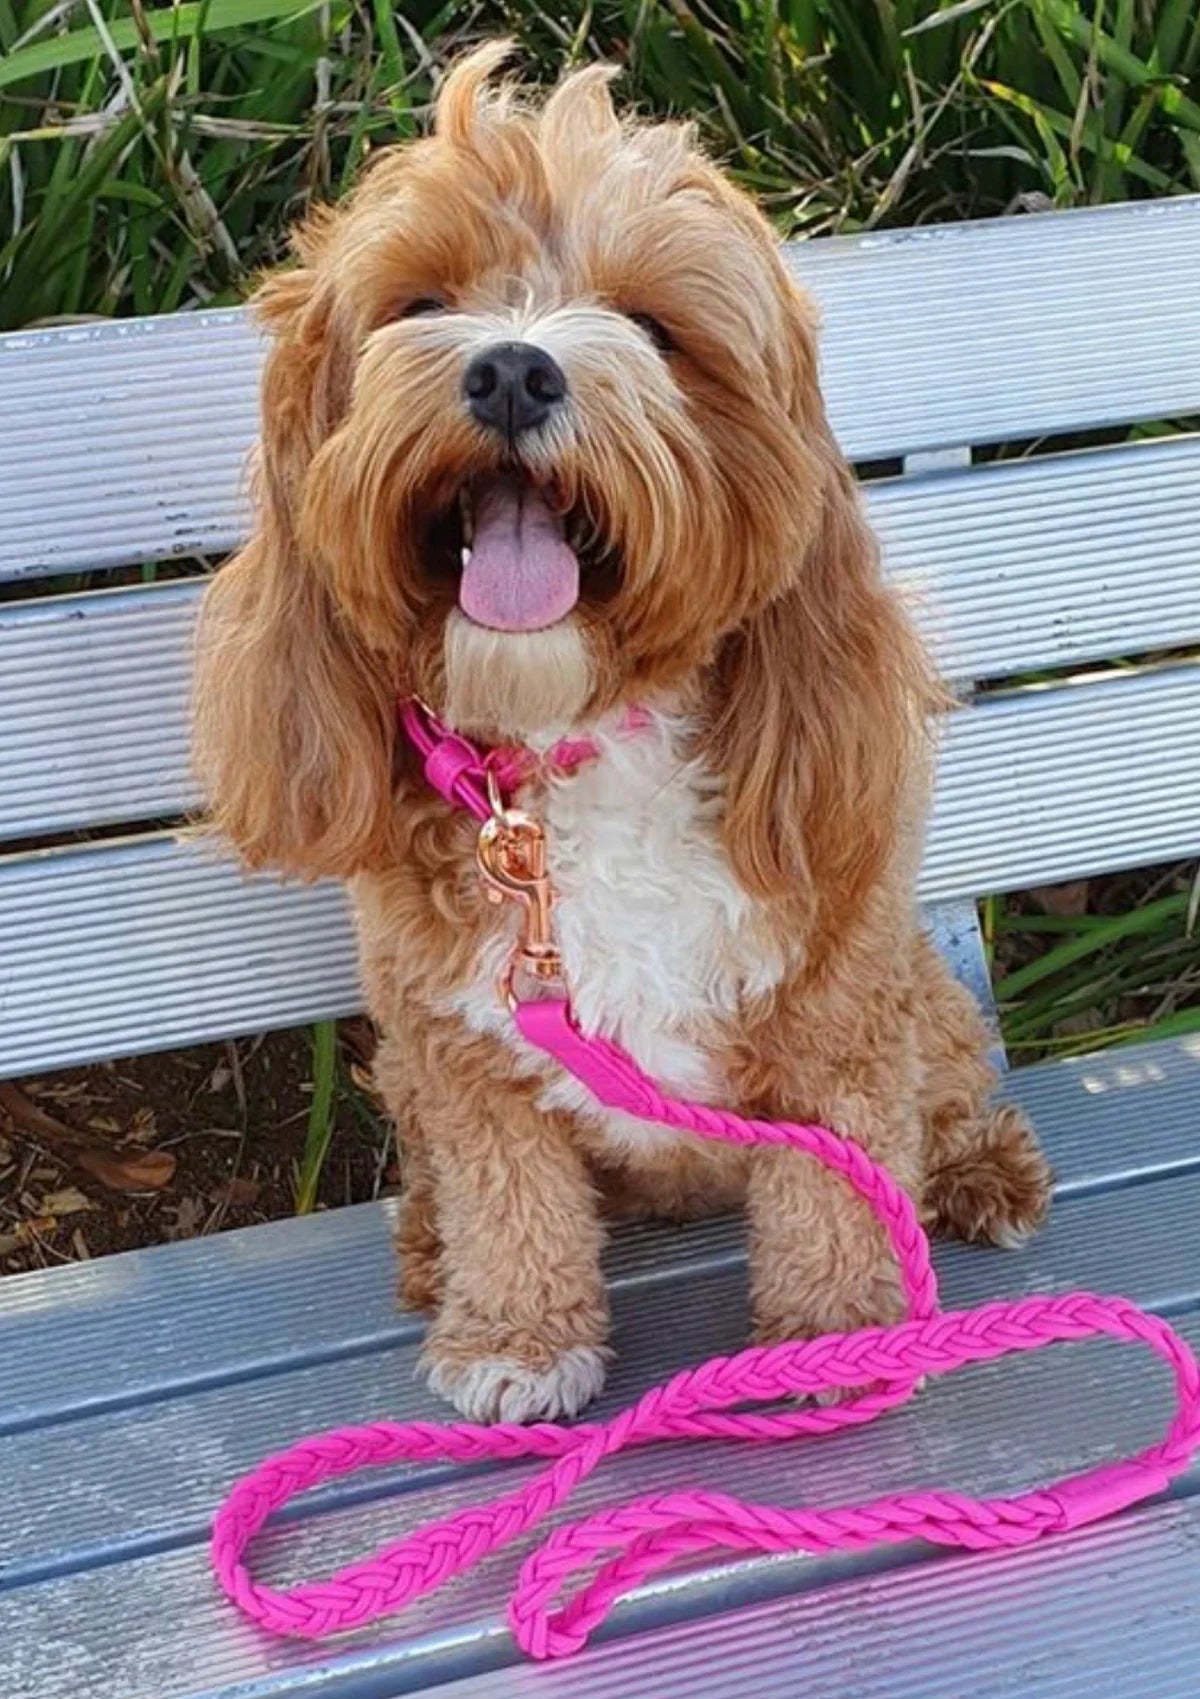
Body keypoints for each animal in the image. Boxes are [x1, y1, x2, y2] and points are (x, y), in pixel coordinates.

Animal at [192, 46, 1040, 1420]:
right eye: (418, 300)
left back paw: (978, 1172)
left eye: (651, 326)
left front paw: (834, 1337)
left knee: (950, 1090)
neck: (576, 741)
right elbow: (507, 1196)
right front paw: (516, 1334)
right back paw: (429, 1246)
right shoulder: (459, 1045)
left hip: (923, 994)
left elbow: (841, 1178)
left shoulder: (834, 1002)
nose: (511, 368)